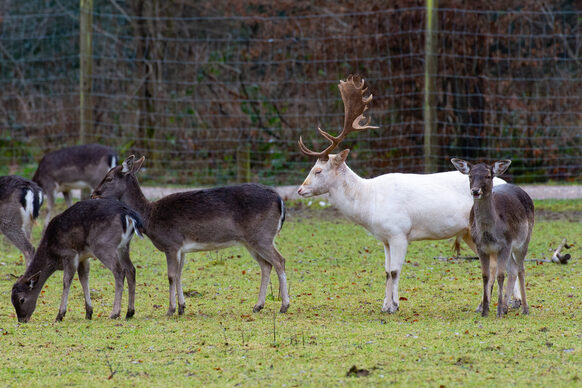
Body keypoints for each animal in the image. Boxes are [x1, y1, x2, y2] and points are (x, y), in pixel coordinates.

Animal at [10, 199, 144, 322]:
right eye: (12, 301)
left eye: (21, 299)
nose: (21, 320)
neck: (51, 254)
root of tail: (129, 214)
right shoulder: (83, 258)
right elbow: (83, 279)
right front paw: (89, 313)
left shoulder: (69, 254)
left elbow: (66, 281)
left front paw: (60, 315)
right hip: (123, 247)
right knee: (131, 270)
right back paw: (129, 312)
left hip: (103, 246)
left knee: (119, 271)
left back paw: (114, 313)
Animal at [92, 155, 290, 316]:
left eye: (109, 178)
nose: (94, 194)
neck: (149, 217)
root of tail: (280, 201)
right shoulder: (182, 249)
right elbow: (179, 275)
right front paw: (181, 307)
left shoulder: (171, 244)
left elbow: (171, 276)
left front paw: (170, 310)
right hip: (250, 241)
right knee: (266, 265)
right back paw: (258, 306)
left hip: (262, 236)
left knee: (279, 260)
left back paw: (284, 306)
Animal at [452, 158, 540, 318]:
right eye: (470, 176)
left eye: (488, 176)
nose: (475, 191)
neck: (489, 234)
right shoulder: (481, 247)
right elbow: (485, 276)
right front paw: (485, 311)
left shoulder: (506, 244)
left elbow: (500, 275)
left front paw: (498, 312)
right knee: (513, 269)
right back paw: (506, 307)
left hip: (524, 239)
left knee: (520, 269)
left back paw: (524, 308)